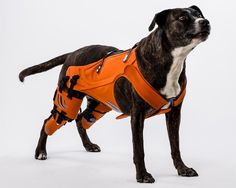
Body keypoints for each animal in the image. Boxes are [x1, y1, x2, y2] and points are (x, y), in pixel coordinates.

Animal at [18, 5, 210, 182]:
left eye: (199, 14)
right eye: (182, 17)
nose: (205, 22)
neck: (171, 61)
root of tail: (72, 54)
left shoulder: (174, 113)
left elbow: (175, 146)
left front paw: (182, 169)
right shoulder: (137, 116)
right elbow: (139, 149)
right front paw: (142, 175)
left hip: (99, 105)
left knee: (81, 120)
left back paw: (88, 145)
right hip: (67, 104)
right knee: (48, 122)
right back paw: (41, 152)